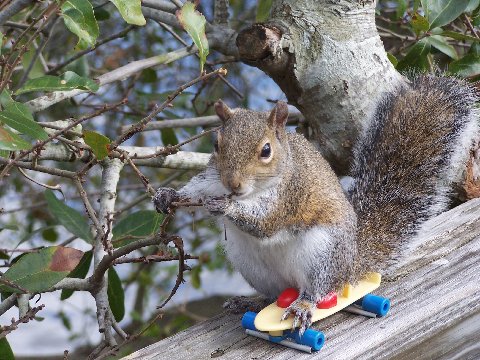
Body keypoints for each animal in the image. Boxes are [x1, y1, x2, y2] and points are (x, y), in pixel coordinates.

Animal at [155, 75, 480, 334]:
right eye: (216, 145)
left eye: (266, 150)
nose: (232, 185)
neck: (252, 192)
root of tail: (350, 267)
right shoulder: (212, 179)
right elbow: (196, 189)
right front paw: (167, 196)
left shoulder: (290, 195)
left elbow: (265, 223)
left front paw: (225, 208)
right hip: (251, 264)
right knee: (275, 295)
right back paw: (251, 301)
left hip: (321, 253)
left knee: (318, 290)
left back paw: (303, 306)